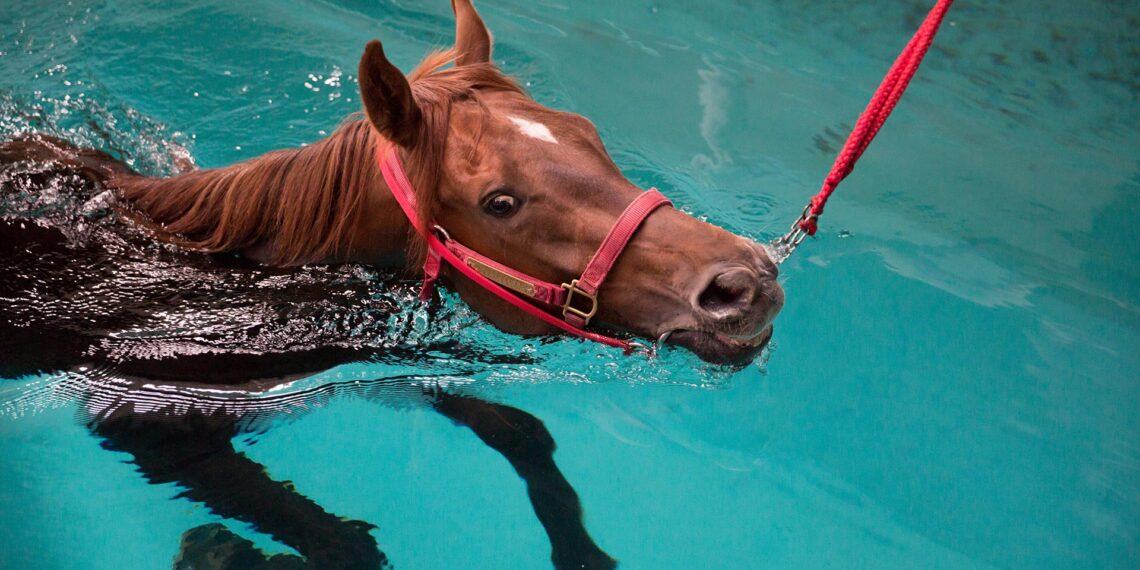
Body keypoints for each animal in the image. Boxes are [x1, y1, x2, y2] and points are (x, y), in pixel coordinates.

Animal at [0, 1, 783, 567]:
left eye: (587, 131)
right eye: (500, 202)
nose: (746, 283)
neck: (219, 275)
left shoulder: (398, 362)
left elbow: (524, 434)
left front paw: (584, 553)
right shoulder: (146, 416)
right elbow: (349, 545)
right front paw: (222, 553)